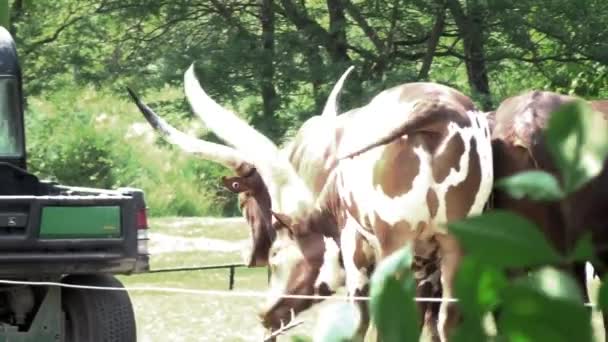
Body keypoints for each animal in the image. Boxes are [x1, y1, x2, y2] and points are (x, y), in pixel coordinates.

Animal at [128, 63, 494, 340]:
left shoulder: (356, 247)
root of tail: (438, 110)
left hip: (394, 240)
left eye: (277, 255)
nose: (264, 314)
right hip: (456, 243)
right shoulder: (427, 262)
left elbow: (362, 320)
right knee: (450, 318)